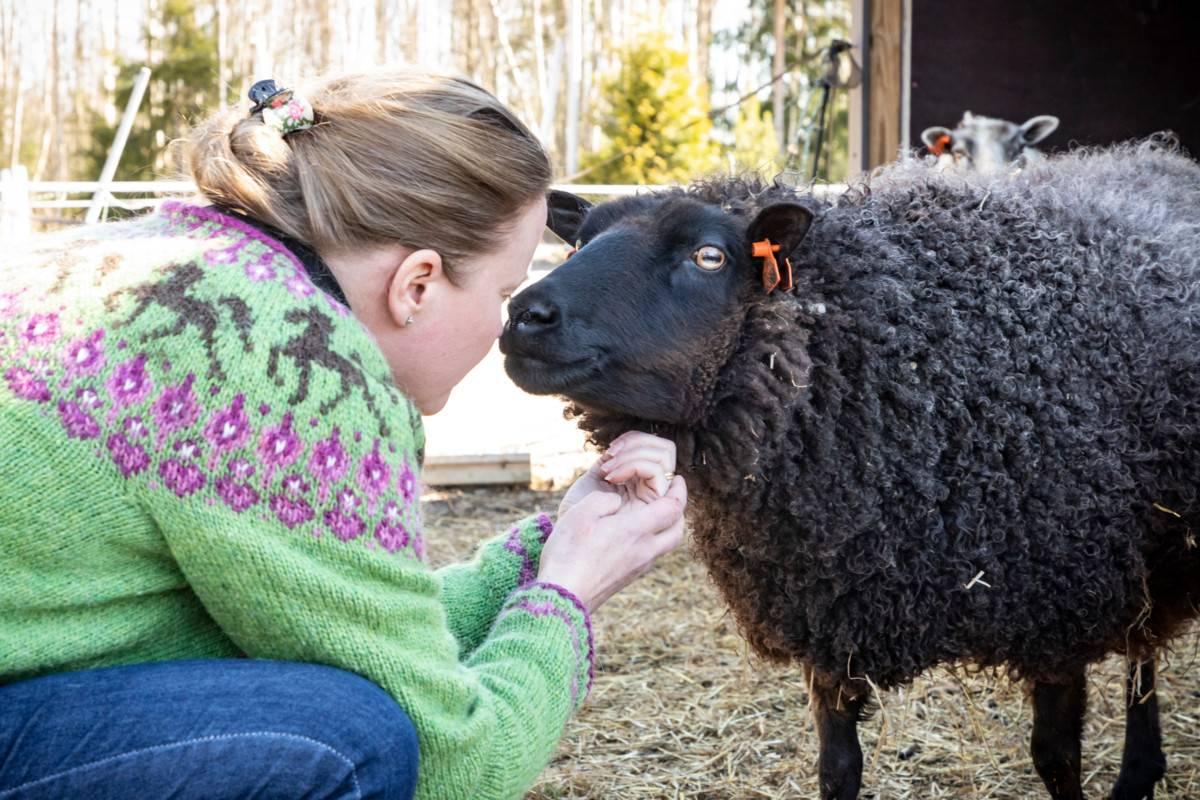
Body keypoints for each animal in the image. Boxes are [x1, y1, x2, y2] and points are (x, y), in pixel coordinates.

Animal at [501, 139, 1200, 800]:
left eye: (709, 257)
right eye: (579, 241)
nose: (524, 315)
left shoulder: (1056, 614)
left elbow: (1055, 759)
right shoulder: (830, 619)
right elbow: (837, 769)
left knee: (1142, 653)